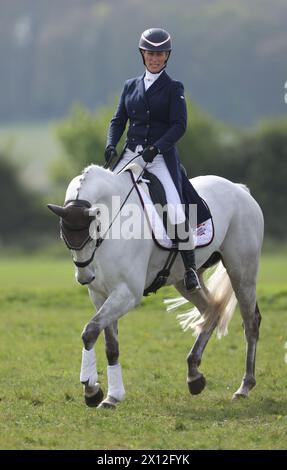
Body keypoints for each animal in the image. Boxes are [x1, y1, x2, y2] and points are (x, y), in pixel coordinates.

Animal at [47, 165, 266, 408]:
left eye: (94, 230)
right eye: (63, 235)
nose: (85, 277)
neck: (116, 217)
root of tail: (239, 190)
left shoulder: (127, 293)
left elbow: (90, 332)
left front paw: (91, 390)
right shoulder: (101, 295)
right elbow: (110, 346)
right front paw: (110, 396)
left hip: (242, 272)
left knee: (250, 322)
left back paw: (244, 387)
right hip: (186, 281)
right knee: (212, 311)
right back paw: (194, 376)